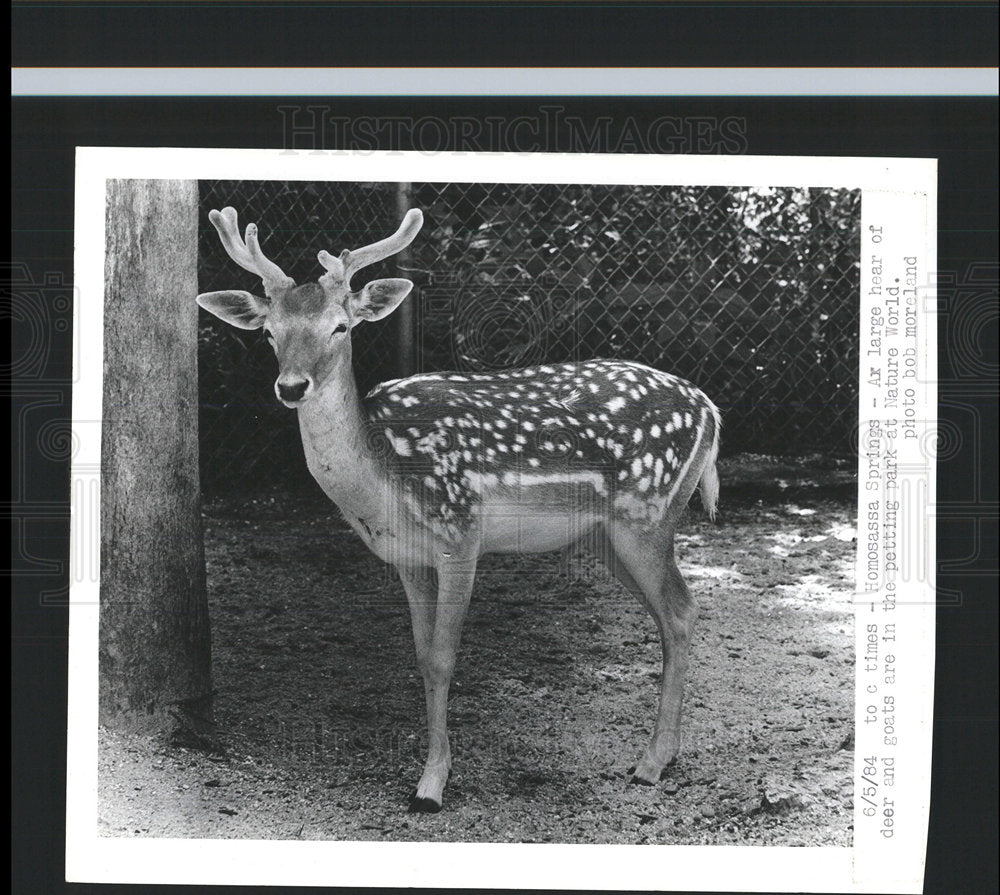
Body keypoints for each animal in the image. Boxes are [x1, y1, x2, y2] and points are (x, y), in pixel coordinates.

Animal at [196, 205, 721, 813]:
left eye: (340, 326)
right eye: (269, 333)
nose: (291, 386)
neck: (382, 482)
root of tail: (711, 409)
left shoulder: (459, 534)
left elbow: (445, 657)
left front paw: (431, 787)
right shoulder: (407, 559)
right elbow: (422, 659)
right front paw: (429, 771)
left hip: (649, 512)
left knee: (681, 610)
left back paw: (651, 763)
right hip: (607, 535)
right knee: (668, 616)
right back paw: (666, 753)